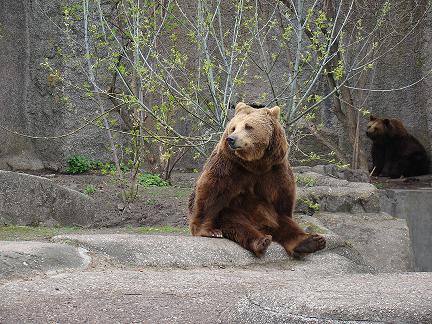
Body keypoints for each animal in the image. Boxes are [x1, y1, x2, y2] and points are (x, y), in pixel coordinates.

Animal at [187, 103, 326, 258]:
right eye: (233, 127)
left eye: (248, 126)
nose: (231, 139)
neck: (255, 162)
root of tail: (263, 227)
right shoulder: (229, 165)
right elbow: (211, 190)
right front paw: (209, 231)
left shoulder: (275, 169)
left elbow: (284, 196)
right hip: (232, 212)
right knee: (238, 224)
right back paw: (262, 241)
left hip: (272, 216)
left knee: (286, 225)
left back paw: (311, 241)